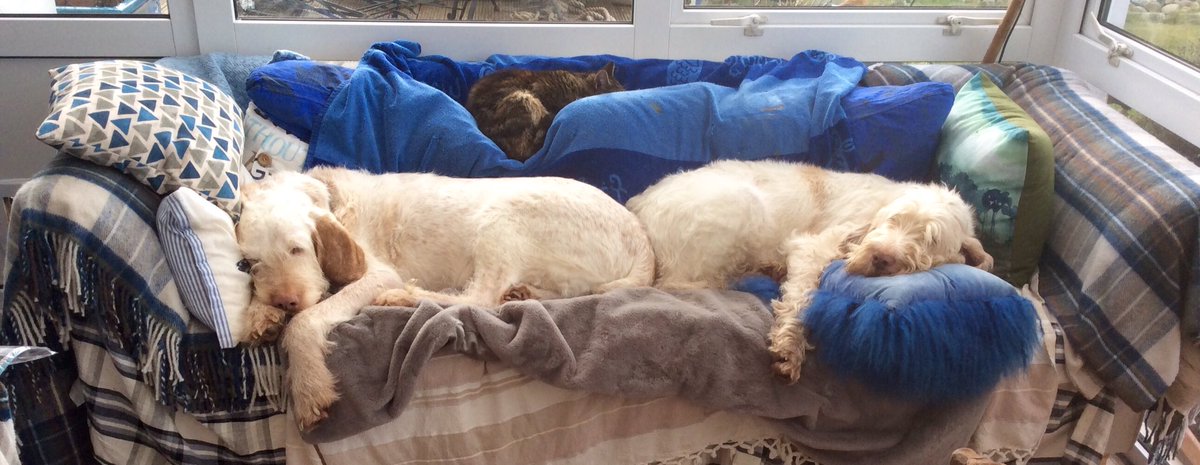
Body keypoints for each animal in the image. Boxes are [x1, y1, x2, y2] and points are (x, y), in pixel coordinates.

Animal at [235, 167, 655, 429]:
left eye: (297, 249)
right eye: (251, 263)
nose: (286, 301)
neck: (331, 197)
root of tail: (640, 239)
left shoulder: (376, 273)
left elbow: (306, 322)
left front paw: (309, 389)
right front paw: (260, 316)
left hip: (502, 218)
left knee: (481, 297)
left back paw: (406, 297)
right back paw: (521, 291)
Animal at [626, 160, 992, 382]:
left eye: (931, 240)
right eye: (894, 220)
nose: (881, 257)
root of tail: (638, 202)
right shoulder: (811, 248)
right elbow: (802, 298)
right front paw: (790, 348)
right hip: (740, 208)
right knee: (683, 284)